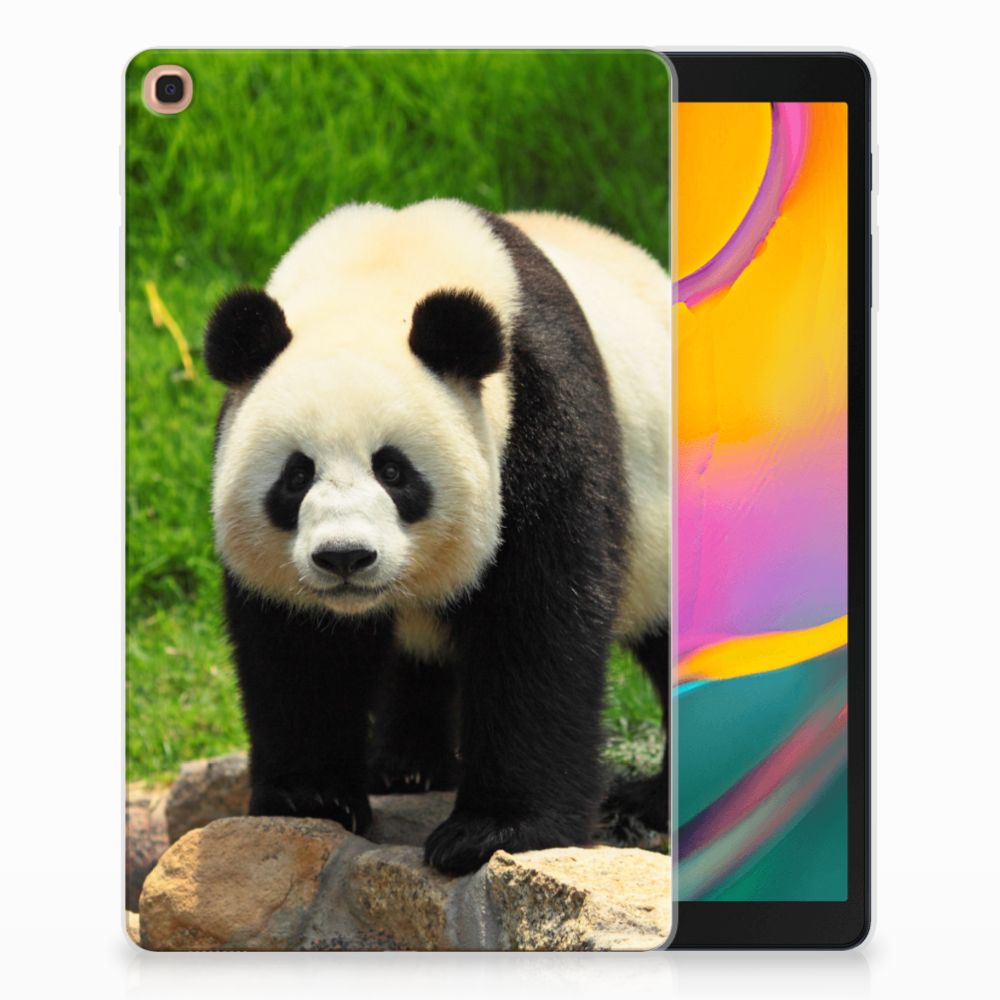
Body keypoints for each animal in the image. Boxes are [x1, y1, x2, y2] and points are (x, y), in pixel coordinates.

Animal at [205, 199, 671, 875]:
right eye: (296, 475)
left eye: (394, 470)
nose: (345, 557)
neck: (380, 272)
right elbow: (298, 645)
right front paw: (310, 797)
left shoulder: (540, 418)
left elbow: (537, 621)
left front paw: (494, 831)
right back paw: (406, 767)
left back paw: (653, 801)